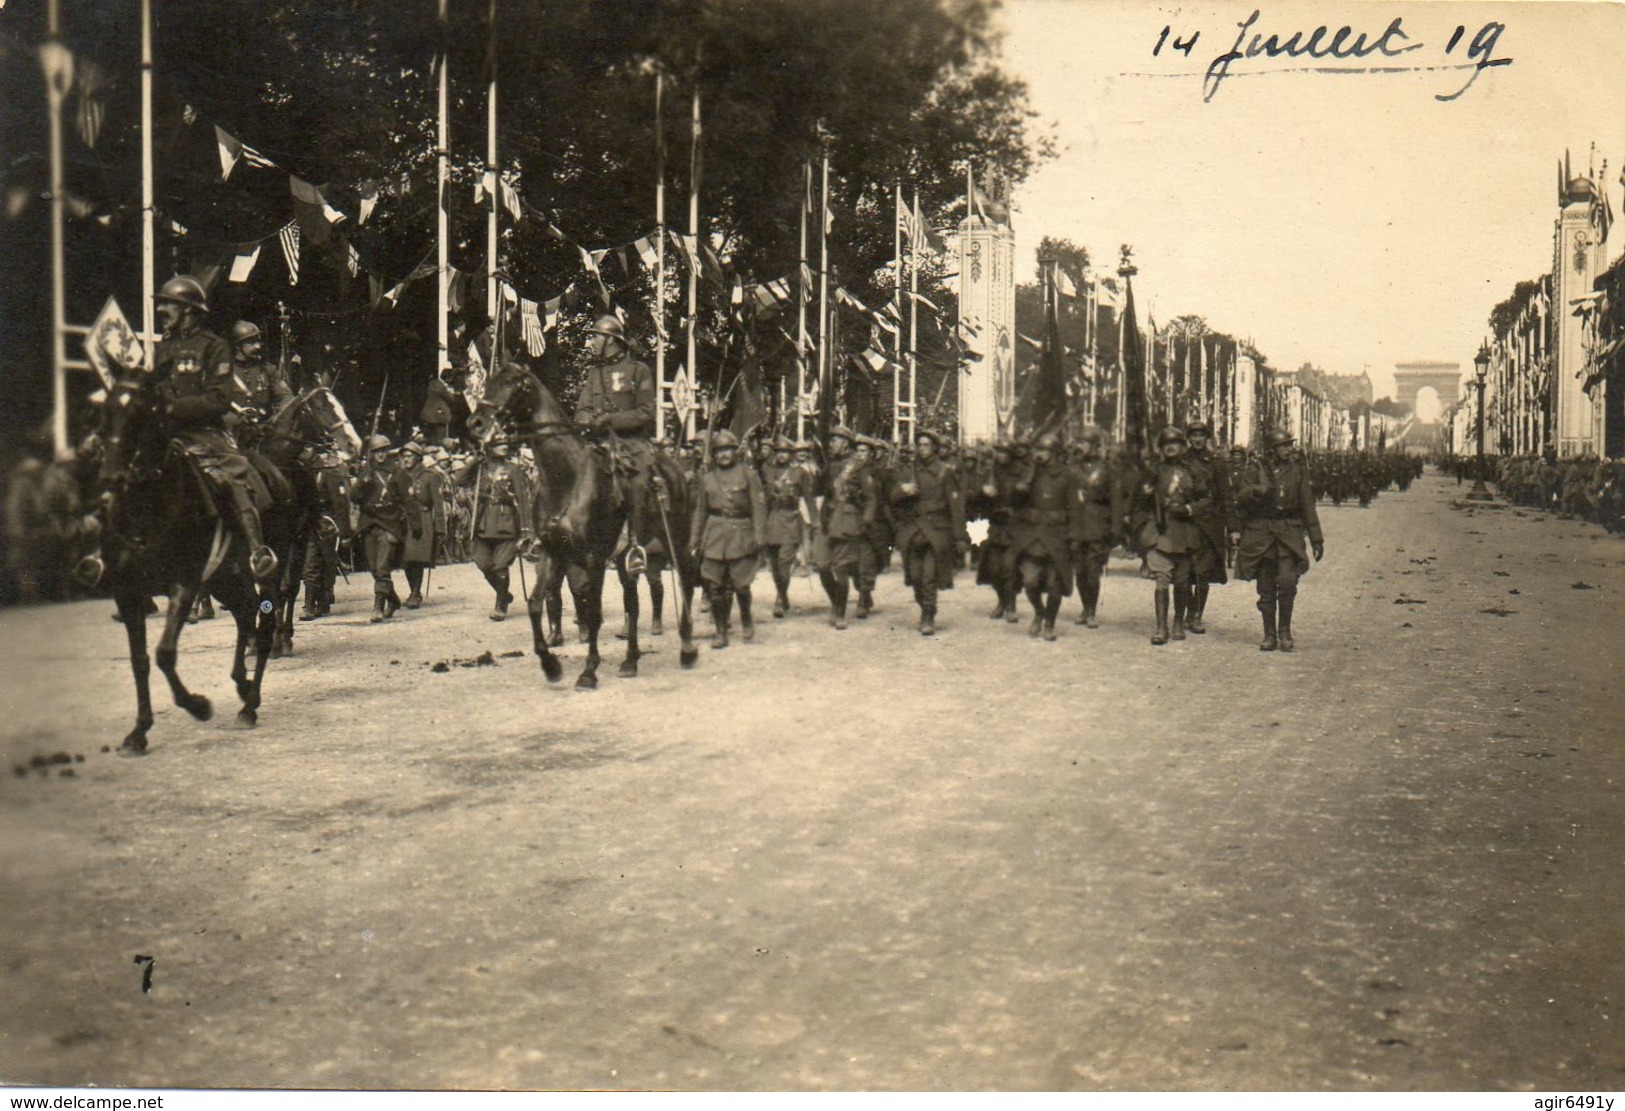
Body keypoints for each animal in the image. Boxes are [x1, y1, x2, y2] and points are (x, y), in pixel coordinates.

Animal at [89, 375, 305, 753]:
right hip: (225, 580)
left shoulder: (185, 584)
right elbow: (139, 660)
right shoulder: (127, 593)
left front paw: (198, 705)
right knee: (245, 614)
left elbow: (164, 653)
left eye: (143, 414)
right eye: (105, 413)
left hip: (266, 569)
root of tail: (276, 473)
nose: (111, 478)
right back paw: (242, 685)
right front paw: (138, 732)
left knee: (263, 625)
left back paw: (249, 706)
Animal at [468, 363, 702, 685]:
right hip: (626, 557)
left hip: (673, 539)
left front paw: (589, 671)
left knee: (686, 580)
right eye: (489, 381)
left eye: (512, 384)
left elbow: (593, 612)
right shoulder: (553, 551)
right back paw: (630, 660)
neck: (566, 478)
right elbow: (535, 602)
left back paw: (687, 647)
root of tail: (675, 468)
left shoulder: (593, 557)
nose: (475, 423)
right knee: (632, 602)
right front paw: (550, 665)